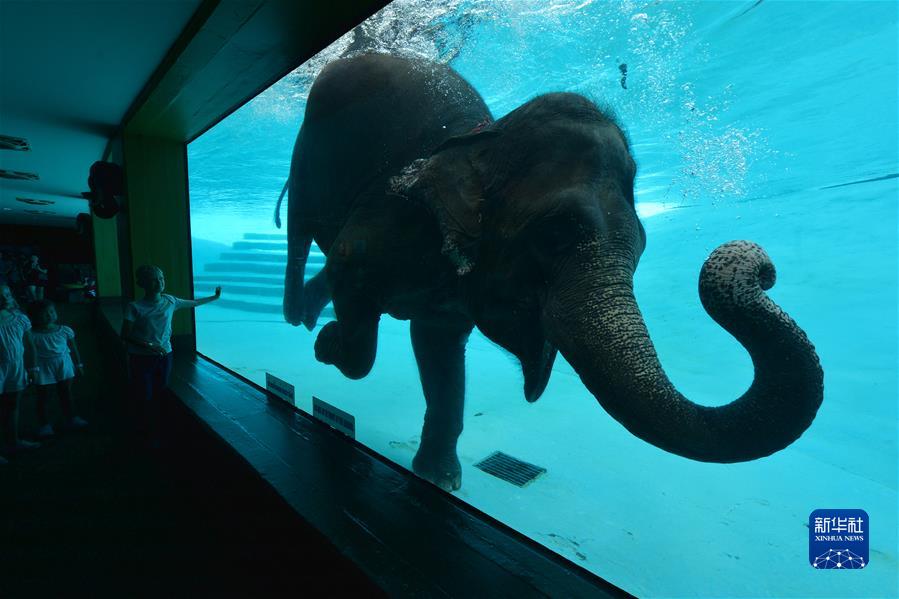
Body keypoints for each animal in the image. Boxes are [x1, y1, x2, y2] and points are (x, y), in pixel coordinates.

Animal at [283, 53, 824, 492]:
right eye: (553, 236)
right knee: (300, 231)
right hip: (303, 157)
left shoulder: (447, 294)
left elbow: (439, 349)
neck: (484, 138)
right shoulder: (388, 218)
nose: (762, 268)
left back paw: (310, 307)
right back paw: (297, 314)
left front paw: (439, 478)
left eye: (641, 247)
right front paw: (327, 344)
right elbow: (351, 279)